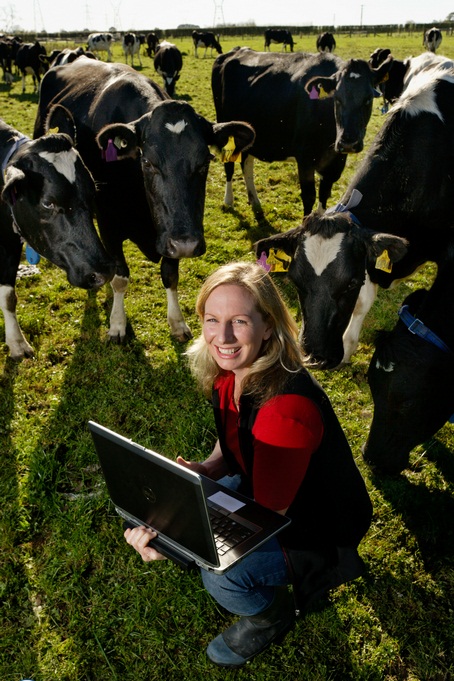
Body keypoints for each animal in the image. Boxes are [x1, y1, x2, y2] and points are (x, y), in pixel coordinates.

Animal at [0, 119, 115, 358]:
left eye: (92, 192)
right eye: (48, 203)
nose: (104, 271)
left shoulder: (10, 244)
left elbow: (8, 297)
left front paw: (16, 343)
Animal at [34, 57, 255, 346]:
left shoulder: (168, 234)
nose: (187, 244)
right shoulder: (109, 226)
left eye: (205, 162)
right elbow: (120, 277)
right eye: (148, 162)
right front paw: (117, 325)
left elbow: (170, 275)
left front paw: (177, 322)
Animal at [213, 46, 394, 215]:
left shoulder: (336, 162)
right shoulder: (305, 158)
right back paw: (228, 201)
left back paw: (254, 201)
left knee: (246, 162)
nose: (348, 142)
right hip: (226, 126)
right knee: (229, 165)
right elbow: (309, 197)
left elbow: (324, 195)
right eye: (336, 98)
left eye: (368, 99)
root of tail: (236, 51)